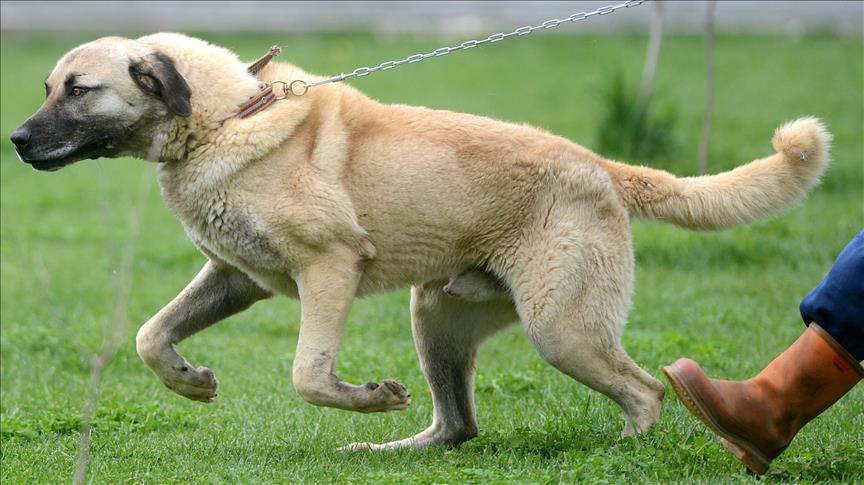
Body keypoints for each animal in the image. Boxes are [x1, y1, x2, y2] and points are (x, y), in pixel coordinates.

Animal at [8, 35, 832, 450]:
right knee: (458, 425)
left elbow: (309, 374)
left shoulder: (329, 270)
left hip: (560, 328)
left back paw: (629, 450)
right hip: (436, 318)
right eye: (48, 86)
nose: (15, 140)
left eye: (77, 90)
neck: (225, 115)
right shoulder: (235, 276)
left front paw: (367, 397)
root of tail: (601, 167)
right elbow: (151, 334)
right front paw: (190, 380)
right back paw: (389, 452)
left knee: (646, 390)